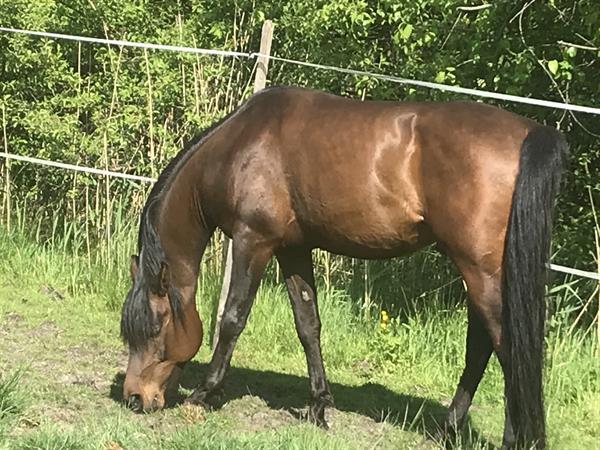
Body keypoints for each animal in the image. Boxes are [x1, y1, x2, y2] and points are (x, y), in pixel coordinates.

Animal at [119, 86, 564, 448]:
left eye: (155, 327)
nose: (135, 398)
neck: (240, 147)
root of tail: (529, 133)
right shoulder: (293, 250)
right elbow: (307, 324)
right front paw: (318, 407)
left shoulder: (253, 242)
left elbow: (232, 318)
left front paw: (204, 394)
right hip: (479, 272)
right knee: (482, 348)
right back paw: (447, 429)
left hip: (480, 271)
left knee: (507, 349)